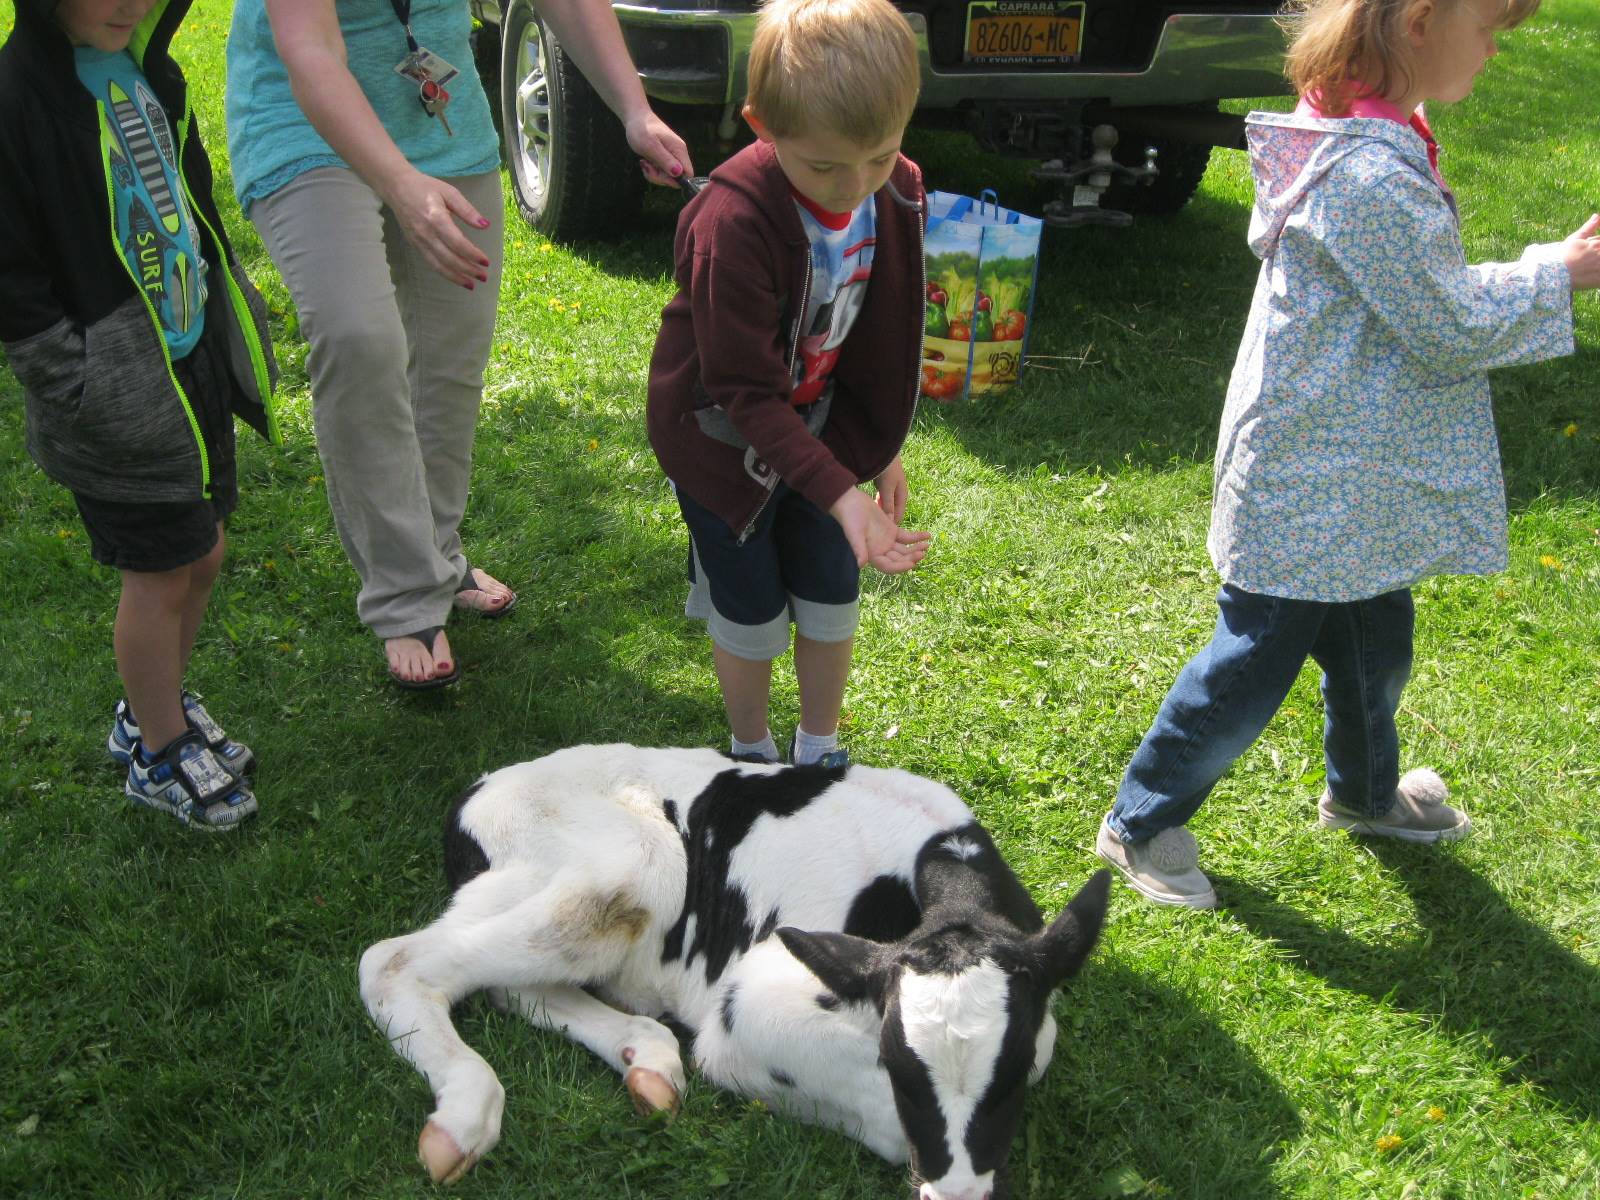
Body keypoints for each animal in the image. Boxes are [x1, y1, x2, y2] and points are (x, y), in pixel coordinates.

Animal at [363, 748, 1113, 1196]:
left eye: (1009, 1074)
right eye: (901, 1068)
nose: (955, 1192)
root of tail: (478, 788)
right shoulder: (746, 1008)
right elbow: (880, 1117)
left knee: (508, 984)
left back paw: (647, 1060)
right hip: (631, 867)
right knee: (391, 962)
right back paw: (463, 1115)